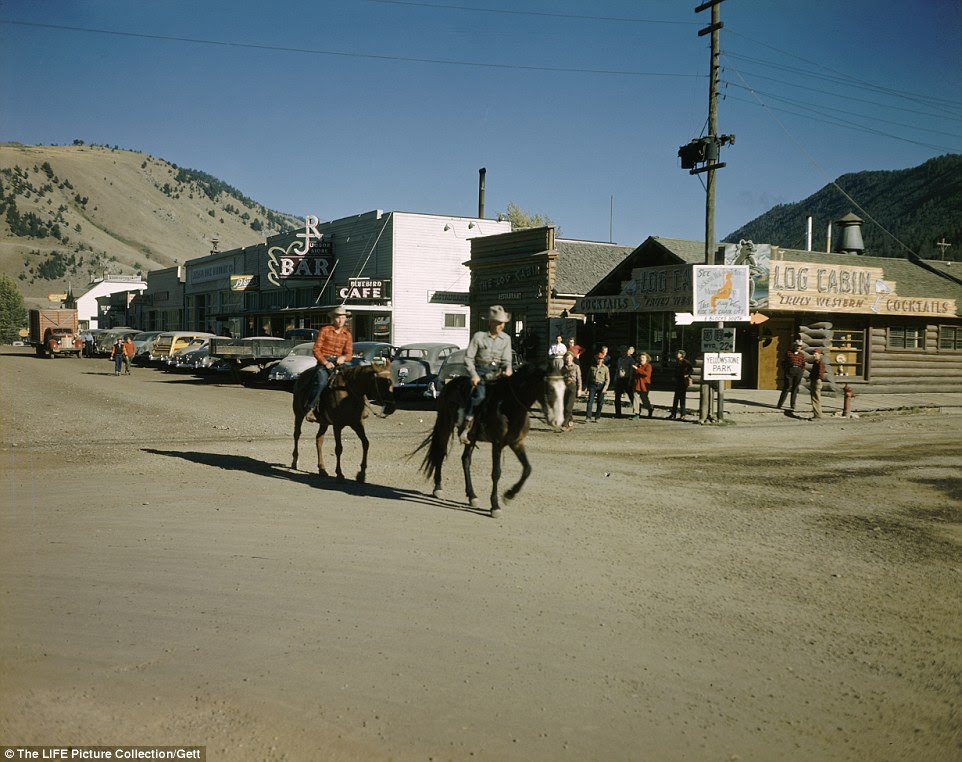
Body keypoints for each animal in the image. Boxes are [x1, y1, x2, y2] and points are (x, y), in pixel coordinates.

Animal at [412, 362, 564, 516]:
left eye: (564, 389)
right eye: (550, 389)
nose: (557, 421)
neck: (509, 405)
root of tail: (450, 384)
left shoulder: (516, 443)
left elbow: (527, 469)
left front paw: (509, 495)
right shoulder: (497, 444)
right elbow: (496, 473)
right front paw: (495, 506)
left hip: (471, 437)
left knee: (465, 460)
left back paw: (472, 496)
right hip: (445, 425)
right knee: (440, 454)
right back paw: (438, 488)